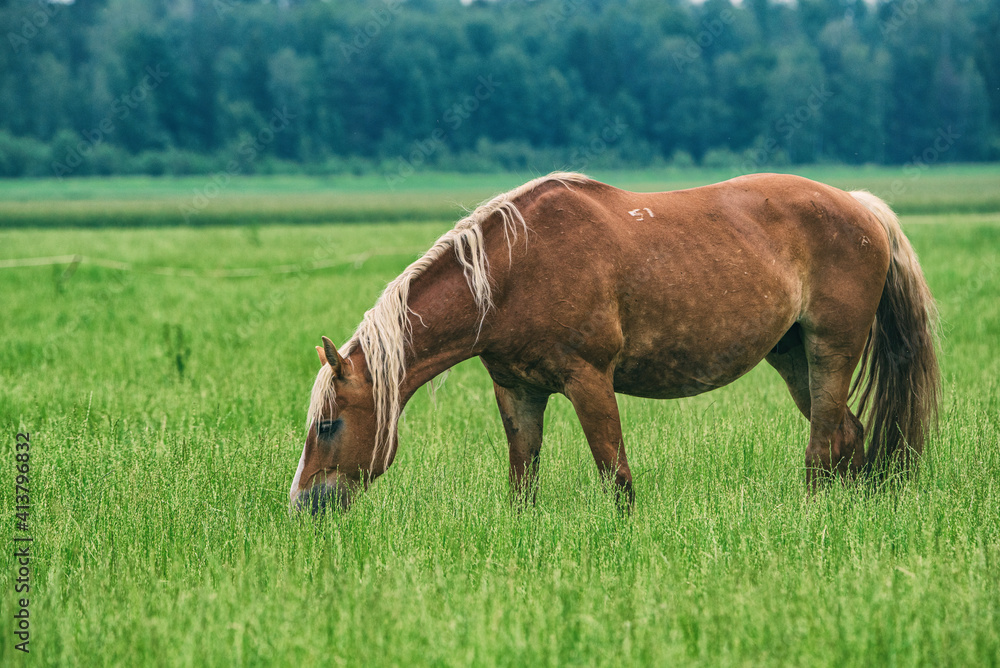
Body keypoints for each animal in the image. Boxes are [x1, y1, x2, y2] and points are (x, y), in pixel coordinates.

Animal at [289, 172, 939, 513]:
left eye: (328, 424)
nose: (301, 505)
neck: (511, 271)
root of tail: (861, 207)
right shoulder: (517, 391)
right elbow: (522, 479)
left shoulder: (589, 381)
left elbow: (616, 477)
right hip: (793, 358)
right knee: (847, 435)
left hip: (831, 352)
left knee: (823, 446)